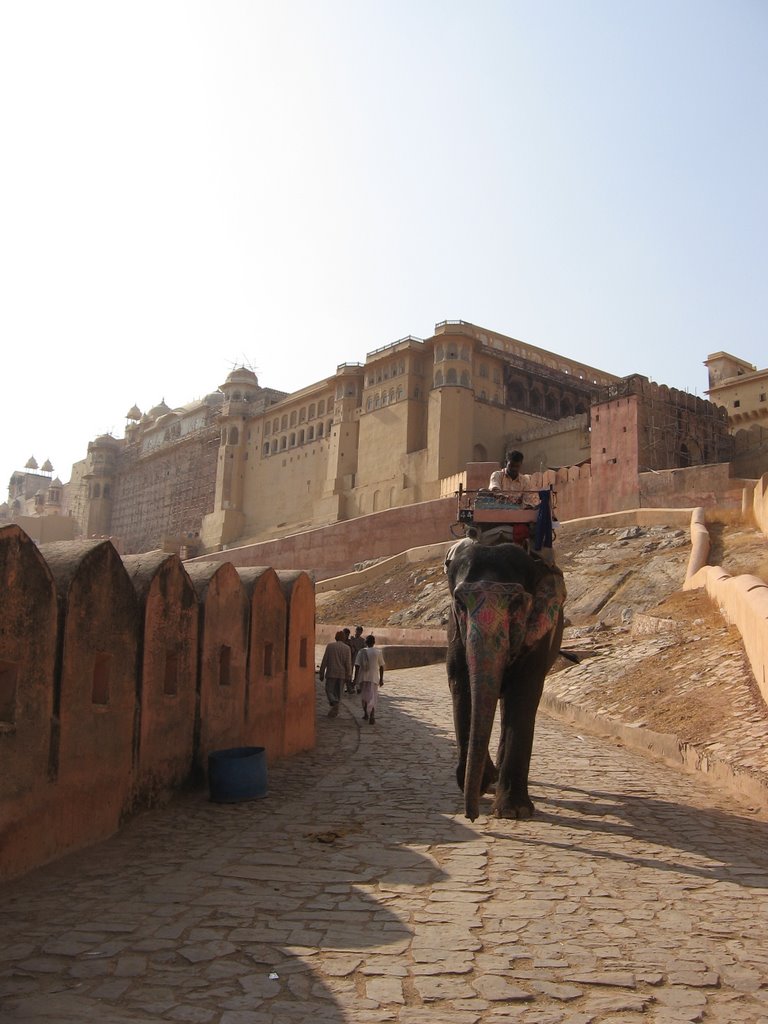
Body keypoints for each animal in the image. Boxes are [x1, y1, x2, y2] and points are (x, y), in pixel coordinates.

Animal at [444, 540, 565, 819]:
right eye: (460, 603)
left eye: (517, 603)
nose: (472, 815)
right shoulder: (455, 634)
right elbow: (462, 687)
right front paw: (480, 782)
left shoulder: (539, 635)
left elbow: (523, 695)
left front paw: (513, 811)